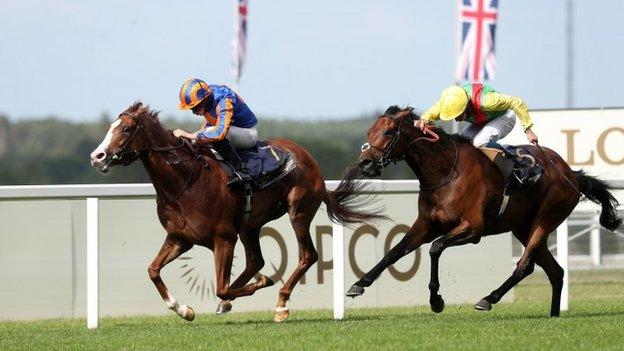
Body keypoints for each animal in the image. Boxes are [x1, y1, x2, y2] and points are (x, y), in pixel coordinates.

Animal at [88, 102, 380, 324]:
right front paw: (184, 310)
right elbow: (153, 270)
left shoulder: (224, 238)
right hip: (251, 225)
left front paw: (261, 285)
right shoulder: (179, 239)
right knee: (255, 261)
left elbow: (220, 287)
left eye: (126, 128)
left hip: (298, 211)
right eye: (109, 127)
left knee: (307, 255)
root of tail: (309, 159)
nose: (97, 156)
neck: (185, 180)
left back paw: (281, 303)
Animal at [344, 106, 620, 318]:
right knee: (555, 271)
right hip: (523, 227)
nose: (364, 163)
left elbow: (435, 248)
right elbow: (395, 251)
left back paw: (489, 299)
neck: (446, 171)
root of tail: (571, 173)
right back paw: (553, 315)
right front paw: (358, 284)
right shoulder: (426, 224)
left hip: (547, 218)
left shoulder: (473, 228)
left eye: (389, 131)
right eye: (369, 131)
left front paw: (437, 300)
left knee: (524, 265)